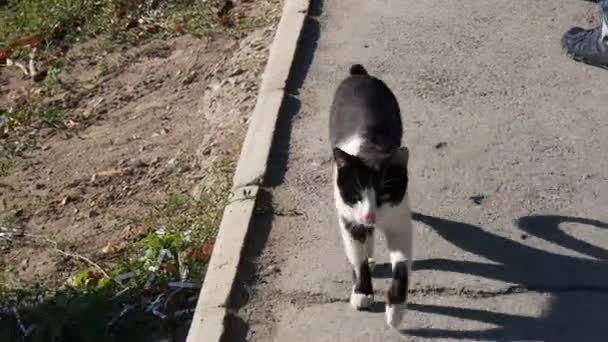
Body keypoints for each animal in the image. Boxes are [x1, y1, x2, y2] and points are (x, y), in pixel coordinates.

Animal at [330, 62, 410, 328]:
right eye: (355, 193)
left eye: (385, 194)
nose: (370, 216)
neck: (368, 148)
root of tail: (360, 75)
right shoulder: (348, 217)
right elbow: (357, 258)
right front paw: (362, 292)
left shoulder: (399, 219)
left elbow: (402, 266)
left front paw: (395, 311)